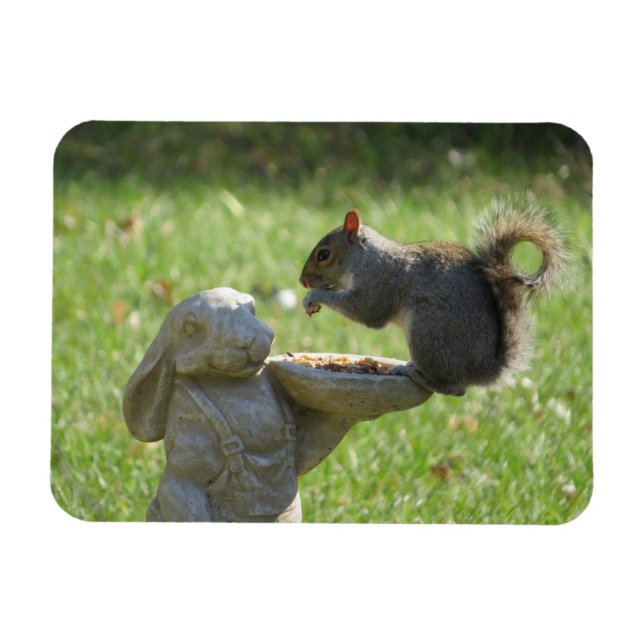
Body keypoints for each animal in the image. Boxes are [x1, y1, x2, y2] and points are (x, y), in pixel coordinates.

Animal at [299, 194, 570, 397]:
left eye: (324, 255)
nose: (302, 281)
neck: (364, 257)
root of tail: (484, 369)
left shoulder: (378, 282)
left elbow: (365, 310)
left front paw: (315, 295)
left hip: (427, 330)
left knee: (454, 389)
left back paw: (412, 373)